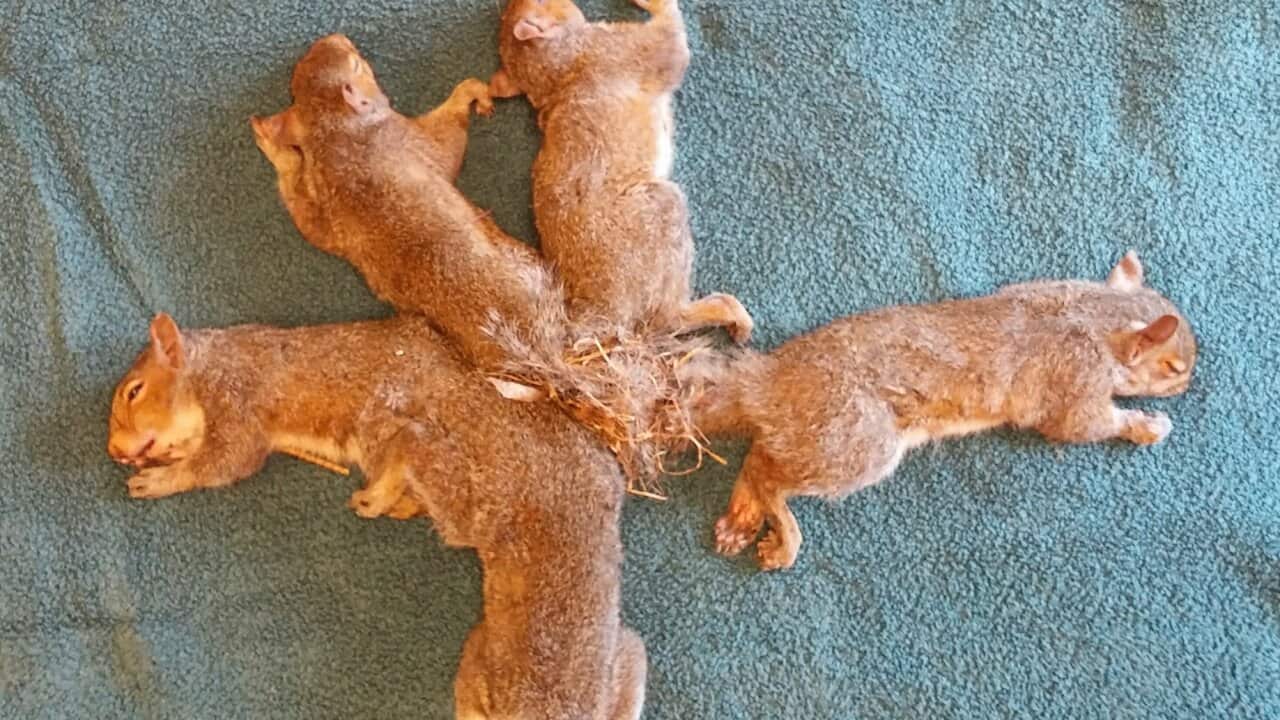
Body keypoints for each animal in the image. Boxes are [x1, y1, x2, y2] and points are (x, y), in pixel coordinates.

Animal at [106, 313, 645, 717]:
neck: (210, 366)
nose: (114, 452)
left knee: (418, 458)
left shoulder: (237, 397)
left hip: (452, 465)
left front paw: (160, 478)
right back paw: (397, 499)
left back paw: (385, 489)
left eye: (134, 391)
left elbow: (224, 461)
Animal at [490, 0, 755, 343]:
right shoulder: (618, 49)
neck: (555, 70)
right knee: (664, 319)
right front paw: (655, 5)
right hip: (658, 212)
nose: (499, 6)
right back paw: (724, 311)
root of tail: (598, 310)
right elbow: (671, 44)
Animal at [695, 252, 1198, 571]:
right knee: (770, 475)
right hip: (857, 439)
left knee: (759, 455)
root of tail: (769, 381)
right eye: (1172, 366)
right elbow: (1086, 424)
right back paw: (783, 531)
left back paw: (741, 516)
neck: (1091, 316)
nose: (1189, 382)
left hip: (817, 434)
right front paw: (1147, 425)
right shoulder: (1076, 381)